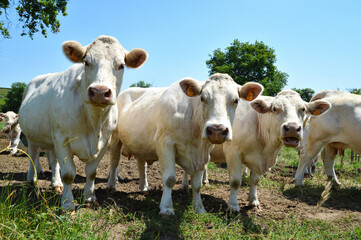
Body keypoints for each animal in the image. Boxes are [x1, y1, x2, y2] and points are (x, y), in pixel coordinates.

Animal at [18, 35, 146, 210]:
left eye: (121, 65)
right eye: (86, 62)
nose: (99, 92)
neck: (93, 123)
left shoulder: (104, 142)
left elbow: (91, 172)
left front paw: (90, 197)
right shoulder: (62, 139)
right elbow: (68, 174)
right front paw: (67, 204)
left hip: (51, 138)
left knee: (53, 160)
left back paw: (55, 183)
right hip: (31, 135)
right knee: (33, 155)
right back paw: (32, 179)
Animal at [105, 73, 262, 216]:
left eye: (236, 100)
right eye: (202, 98)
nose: (217, 130)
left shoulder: (203, 155)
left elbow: (197, 185)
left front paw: (199, 208)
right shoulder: (165, 144)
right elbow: (169, 178)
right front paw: (166, 208)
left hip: (140, 144)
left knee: (141, 164)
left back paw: (144, 187)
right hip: (115, 137)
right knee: (114, 161)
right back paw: (111, 185)